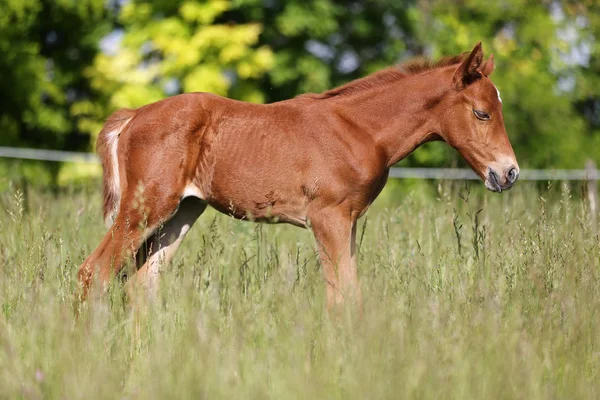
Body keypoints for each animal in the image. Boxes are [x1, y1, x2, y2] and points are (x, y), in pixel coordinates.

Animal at [78, 43, 520, 306]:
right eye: (482, 113)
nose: (509, 172)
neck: (358, 130)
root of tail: (133, 115)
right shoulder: (327, 218)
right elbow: (340, 296)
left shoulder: (348, 221)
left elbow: (348, 292)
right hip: (146, 207)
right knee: (94, 273)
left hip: (183, 211)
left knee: (141, 283)